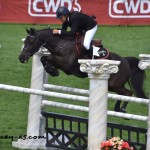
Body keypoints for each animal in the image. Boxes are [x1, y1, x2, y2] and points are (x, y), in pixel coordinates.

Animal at [18, 27, 146, 112]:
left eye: (31, 42)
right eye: (25, 41)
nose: (21, 58)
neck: (62, 44)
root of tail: (125, 61)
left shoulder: (67, 65)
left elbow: (49, 58)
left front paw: (53, 70)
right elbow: (44, 58)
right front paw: (52, 70)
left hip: (114, 84)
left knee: (128, 93)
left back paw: (122, 109)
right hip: (113, 85)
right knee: (122, 94)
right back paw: (117, 108)